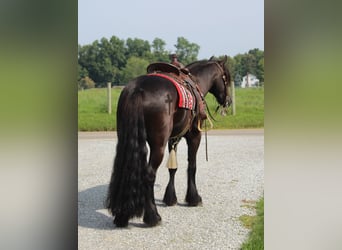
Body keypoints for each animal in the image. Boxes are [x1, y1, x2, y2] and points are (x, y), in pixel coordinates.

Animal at [105, 55, 232, 228]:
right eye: (226, 78)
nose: (228, 101)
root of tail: (137, 90)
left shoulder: (173, 138)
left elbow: (173, 168)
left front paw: (170, 198)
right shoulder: (194, 136)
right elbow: (192, 166)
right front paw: (193, 198)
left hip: (126, 138)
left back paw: (122, 216)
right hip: (158, 144)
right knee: (149, 174)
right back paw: (153, 216)